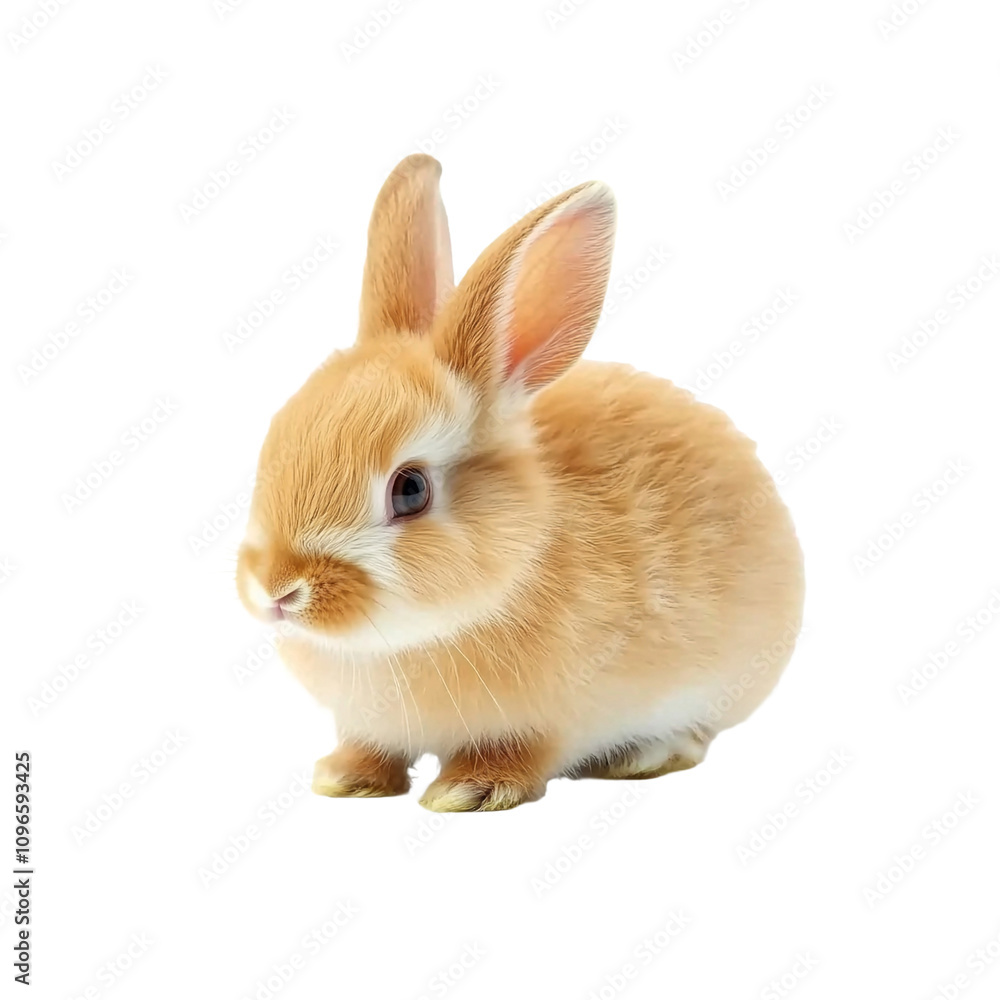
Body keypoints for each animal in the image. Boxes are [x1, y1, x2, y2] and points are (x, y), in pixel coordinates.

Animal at [236, 153, 804, 812]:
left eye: (410, 490)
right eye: (277, 436)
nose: (277, 591)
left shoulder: (552, 721)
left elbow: (522, 754)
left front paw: (468, 790)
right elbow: (370, 748)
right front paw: (346, 779)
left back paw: (646, 754)